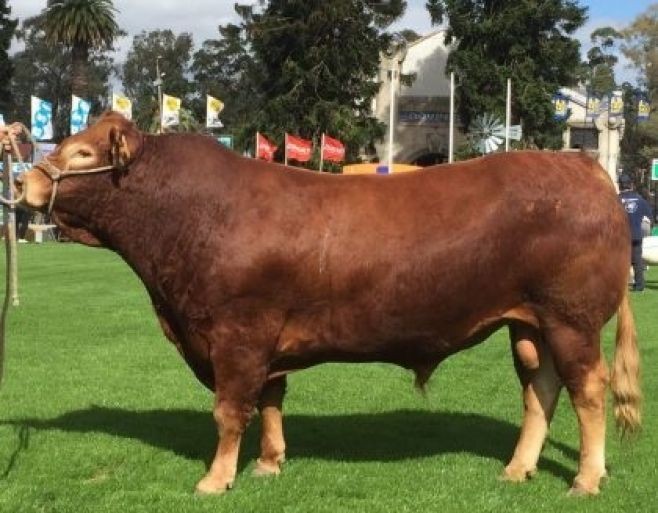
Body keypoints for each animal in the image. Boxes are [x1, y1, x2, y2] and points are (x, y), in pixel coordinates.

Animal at [15, 111, 640, 492]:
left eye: (82, 153)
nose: (23, 183)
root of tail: (584, 166)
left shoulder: (237, 334)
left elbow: (230, 409)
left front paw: (216, 479)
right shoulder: (261, 340)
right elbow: (270, 400)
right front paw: (269, 464)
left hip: (572, 319)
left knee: (588, 389)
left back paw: (587, 478)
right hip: (528, 323)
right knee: (541, 388)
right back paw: (517, 469)